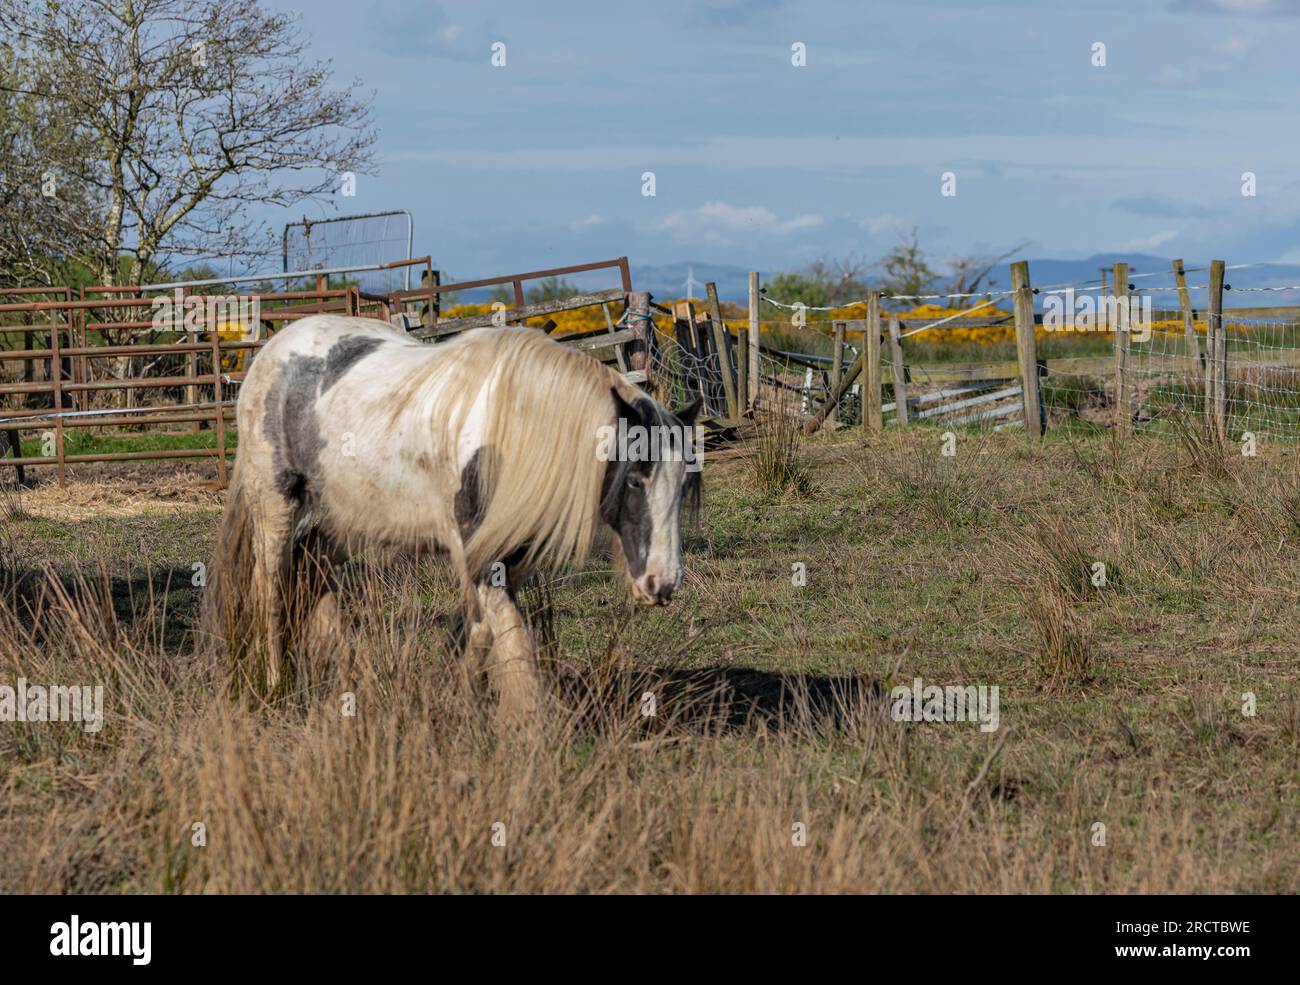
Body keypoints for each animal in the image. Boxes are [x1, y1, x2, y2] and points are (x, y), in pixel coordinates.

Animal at [205, 318, 702, 727]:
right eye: (635, 480)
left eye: (682, 485)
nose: (662, 583)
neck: (516, 430)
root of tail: (273, 349)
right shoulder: (479, 555)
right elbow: (514, 643)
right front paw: (528, 732)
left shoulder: (508, 559)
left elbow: (480, 635)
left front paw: (462, 712)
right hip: (276, 506)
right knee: (270, 591)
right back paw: (274, 689)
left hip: (347, 522)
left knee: (313, 575)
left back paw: (347, 690)